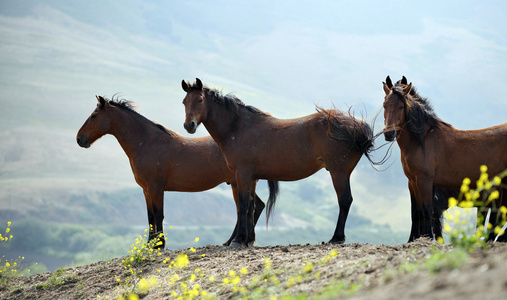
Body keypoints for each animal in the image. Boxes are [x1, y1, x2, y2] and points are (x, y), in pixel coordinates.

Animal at [77, 95, 280, 248]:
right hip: (239, 182)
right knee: (252, 206)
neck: (147, 142)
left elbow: (158, 215)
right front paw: (150, 245)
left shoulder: (156, 188)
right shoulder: (146, 190)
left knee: (248, 207)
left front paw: (159, 245)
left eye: (94, 115)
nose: (80, 139)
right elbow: (150, 217)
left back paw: (238, 241)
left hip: (241, 181)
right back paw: (235, 241)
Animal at [181, 78, 376, 247]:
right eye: (184, 102)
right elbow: (251, 205)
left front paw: (239, 240)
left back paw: (336, 238)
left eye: (199, 100)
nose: (189, 125)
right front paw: (248, 240)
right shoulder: (251, 177)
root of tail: (357, 125)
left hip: (339, 172)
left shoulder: (242, 174)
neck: (238, 128)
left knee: (344, 200)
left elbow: (243, 205)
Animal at [382, 76, 506, 243]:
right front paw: (413, 240)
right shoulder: (413, 181)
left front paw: (428, 237)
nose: (389, 134)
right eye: (385, 105)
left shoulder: (425, 181)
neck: (423, 140)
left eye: (402, 106)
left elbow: (427, 210)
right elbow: (416, 212)